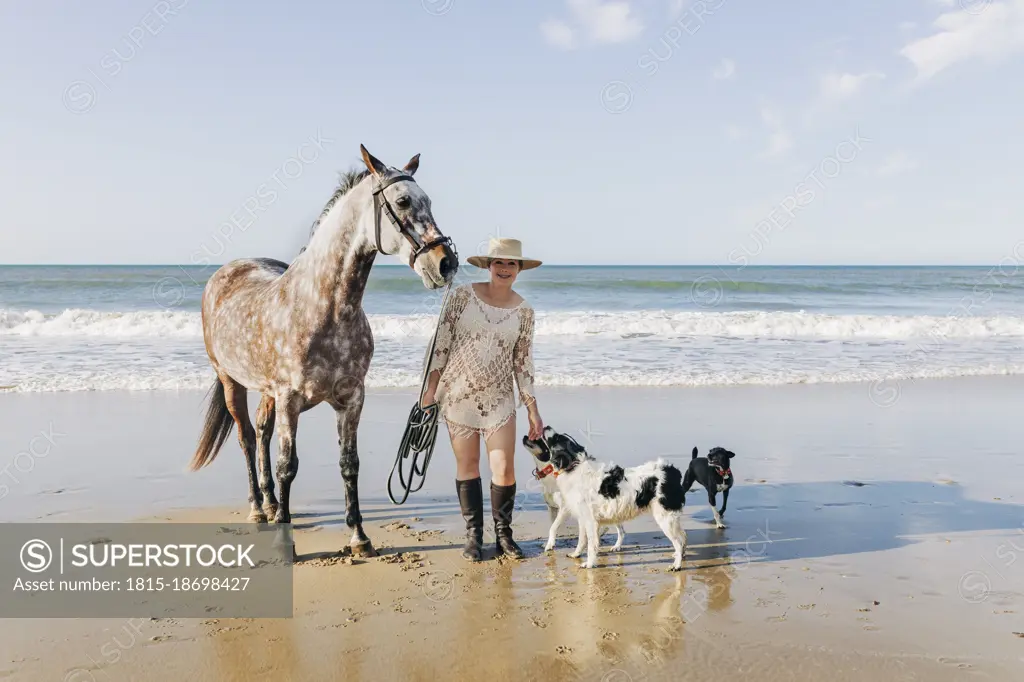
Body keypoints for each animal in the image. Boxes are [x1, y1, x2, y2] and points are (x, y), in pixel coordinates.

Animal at [189, 146, 460, 557]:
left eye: (428, 201)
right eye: (402, 201)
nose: (446, 263)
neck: (324, 307)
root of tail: (228, 271)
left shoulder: (351, 398)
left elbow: (349, 464)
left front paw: (359, 537)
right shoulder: (290, 399)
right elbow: (288, 466)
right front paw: (285, 544)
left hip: (266, 391)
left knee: (263, 432)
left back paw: (271, 504)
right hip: (231, 381)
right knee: (247, 437)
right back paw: (258, 508)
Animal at [524, 425, 684, 569]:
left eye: (556, 438)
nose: (546, 426)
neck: (574, 467)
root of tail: (671, 471)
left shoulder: (590, 520)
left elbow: (591, 544)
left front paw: (589, 564)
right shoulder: (583, 518)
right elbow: (582, 540)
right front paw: (576, 554)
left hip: (665, 518)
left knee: (679, 542)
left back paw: (676, 565)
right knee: (683, 538)